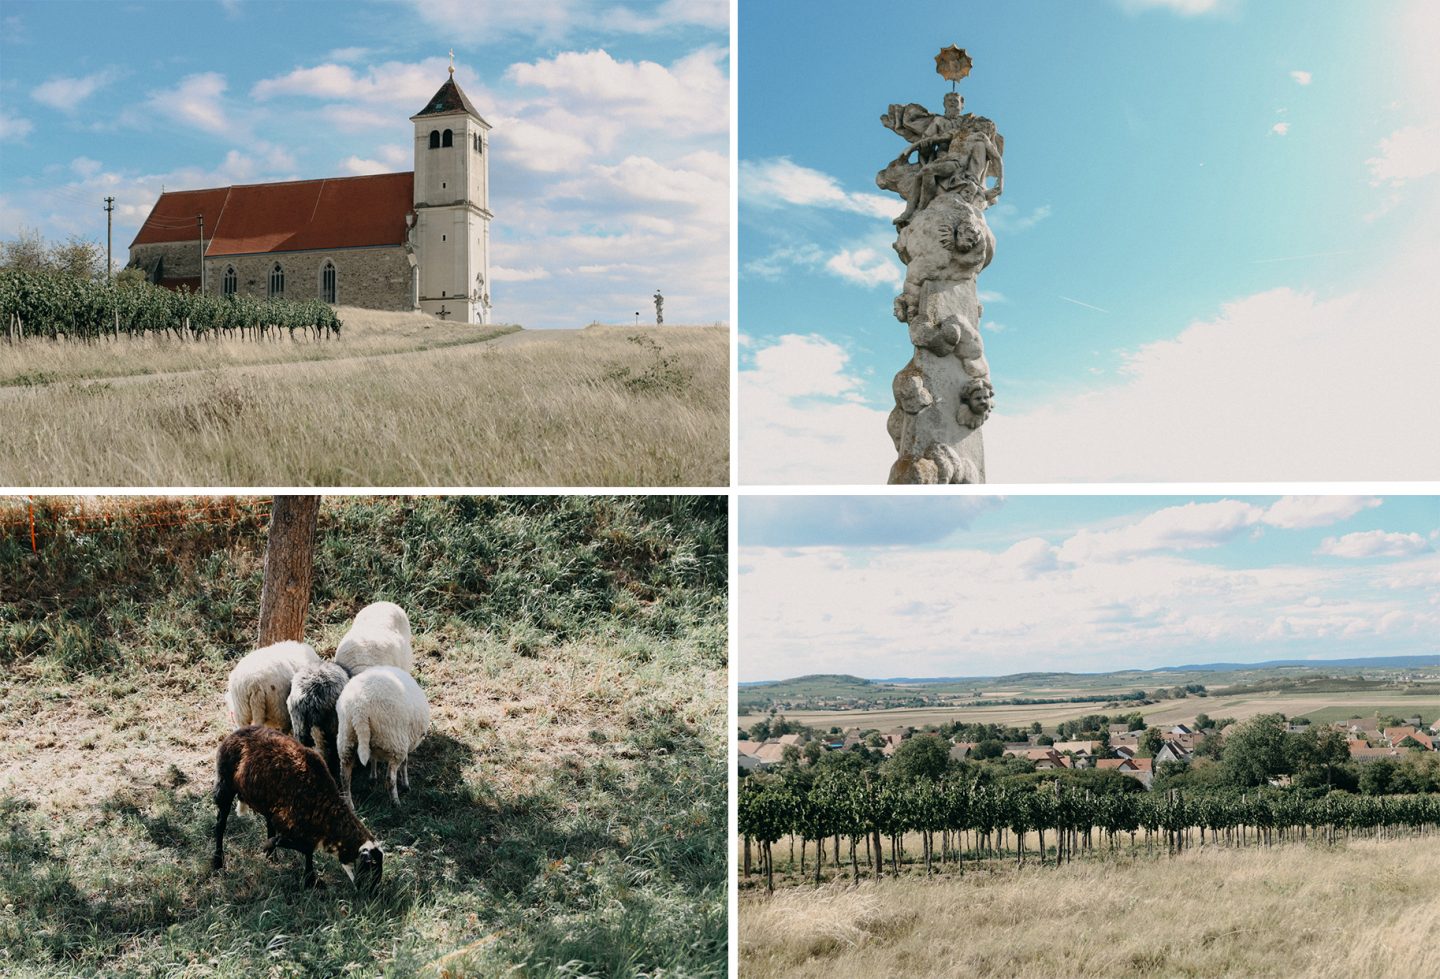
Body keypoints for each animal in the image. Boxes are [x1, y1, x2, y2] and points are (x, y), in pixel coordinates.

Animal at [211, 722, 383, 892]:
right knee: (220, 825)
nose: (372, 894)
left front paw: (309, 878)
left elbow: (306, 849)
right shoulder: (291, 822)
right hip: (225, 786)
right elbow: (302, 847)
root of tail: (236, 732)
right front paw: (309, 878)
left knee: (267, 822)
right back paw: (218, 862)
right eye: (370, 868)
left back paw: (271, 856)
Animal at [335, 665, 426, 800]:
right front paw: (406, 785)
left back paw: (349, 803)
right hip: (395, 744)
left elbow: (373, 758)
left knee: (345, 779)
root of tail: (359, 709)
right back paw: (396, 802)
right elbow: (404, 763)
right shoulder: (405, 741)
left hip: (346, 739)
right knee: (390, 779)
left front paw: (373, 776)